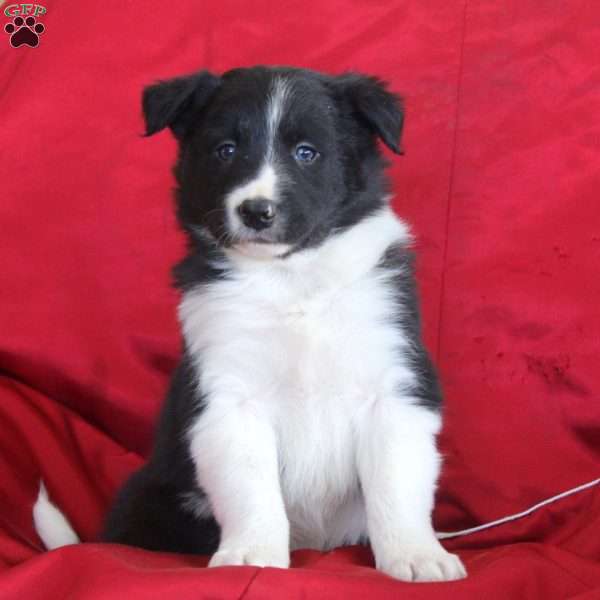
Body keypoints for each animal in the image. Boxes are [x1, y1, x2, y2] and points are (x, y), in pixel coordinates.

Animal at [36, 64, 468, 580]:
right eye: (226, 149)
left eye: (307, 153)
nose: (256, 211)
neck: (290, 279)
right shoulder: (230, 398)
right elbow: (251, 489)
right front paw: (251, 556)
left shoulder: (393, 386)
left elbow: (396, 484)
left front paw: (417, 556)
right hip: (149, 499)